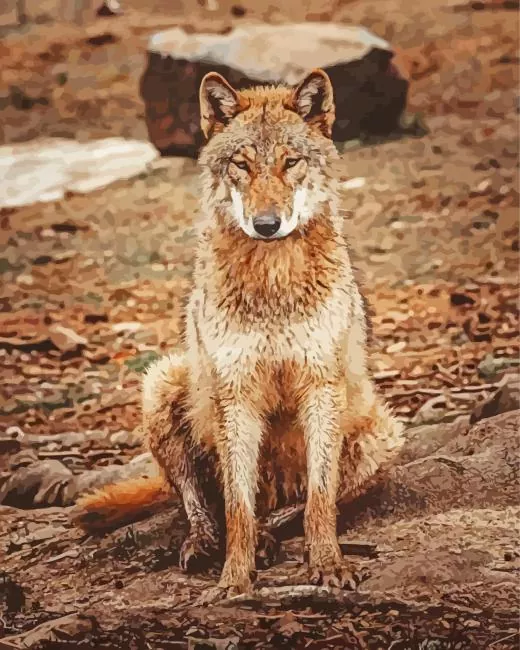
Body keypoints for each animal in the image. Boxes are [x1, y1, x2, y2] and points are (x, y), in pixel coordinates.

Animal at [74, 68, 404, 603]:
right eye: (242, 166)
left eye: (290, 162)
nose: (266, 225)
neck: (272, 282)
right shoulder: (237, 394)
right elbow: (236, 508)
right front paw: (234, 580)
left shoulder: (320, 386)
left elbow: (320, 499)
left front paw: (328, 566)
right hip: (163, 383)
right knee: (197, 498)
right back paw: (206, 544)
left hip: (383, 432)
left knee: (294, 505)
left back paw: (273, 538)